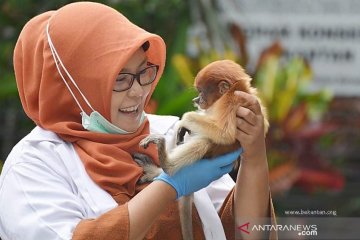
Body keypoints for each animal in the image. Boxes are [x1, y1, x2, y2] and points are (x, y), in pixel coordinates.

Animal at [135, 59, 268, 239]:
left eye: (201, 92)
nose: (196, 100)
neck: (236, 88)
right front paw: (183, 127)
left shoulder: (231, 102)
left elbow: (224, 134)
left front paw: (185, 120)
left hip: (210, 150)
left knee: (203, 143)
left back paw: (167, 163)